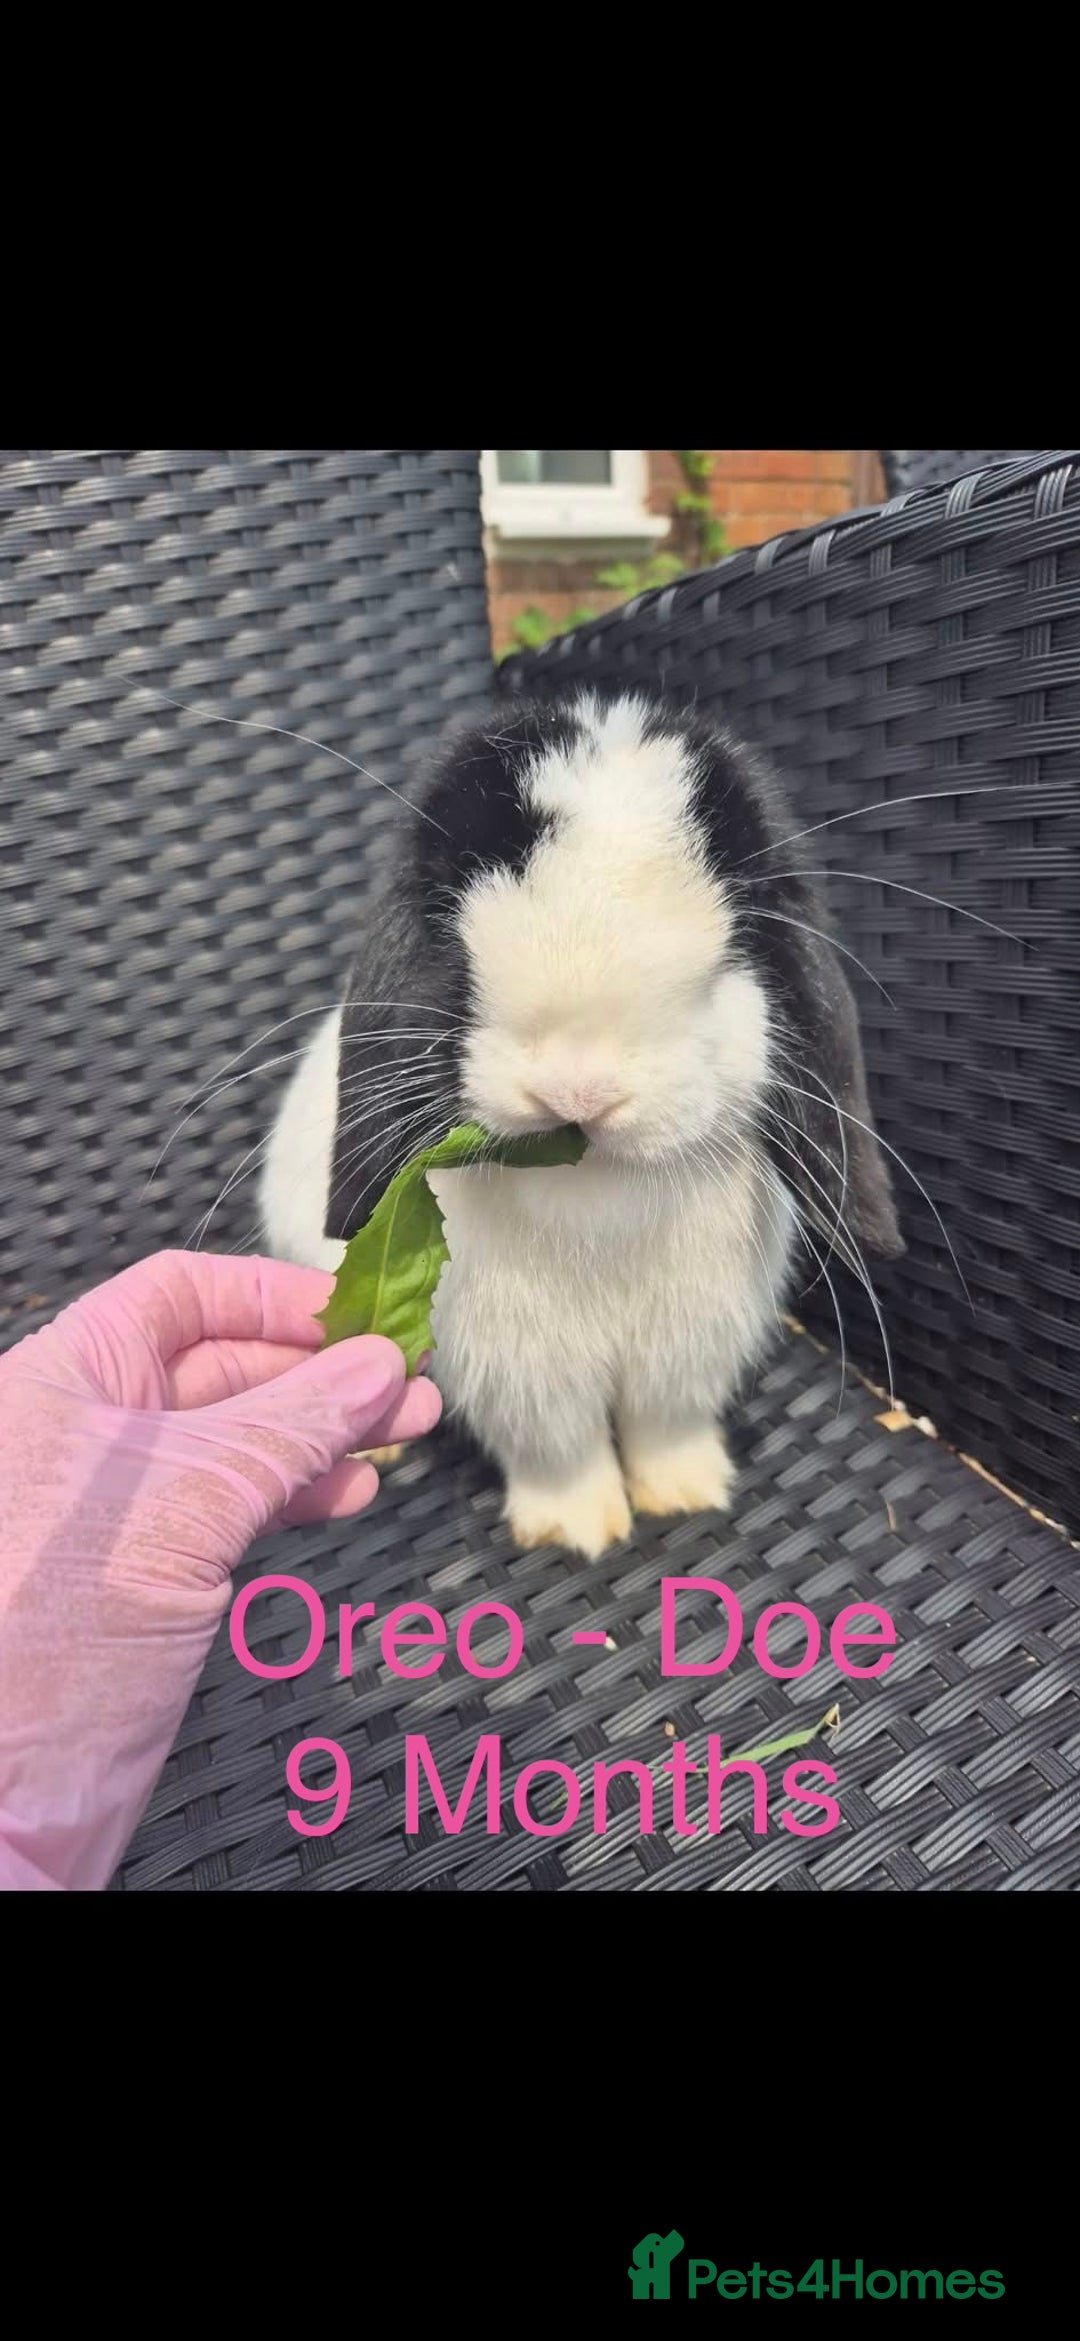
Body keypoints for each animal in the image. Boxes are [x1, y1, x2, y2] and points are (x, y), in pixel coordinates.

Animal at [259, 692, 903, 1559]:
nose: (578, 1090)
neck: (596, 1191)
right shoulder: (523, 1375)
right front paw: (578, 1530)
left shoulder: (686, 1355)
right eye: (453, 937)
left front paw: (689, 1494)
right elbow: (557, 1448)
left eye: (732, 950)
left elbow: (668, 1426)